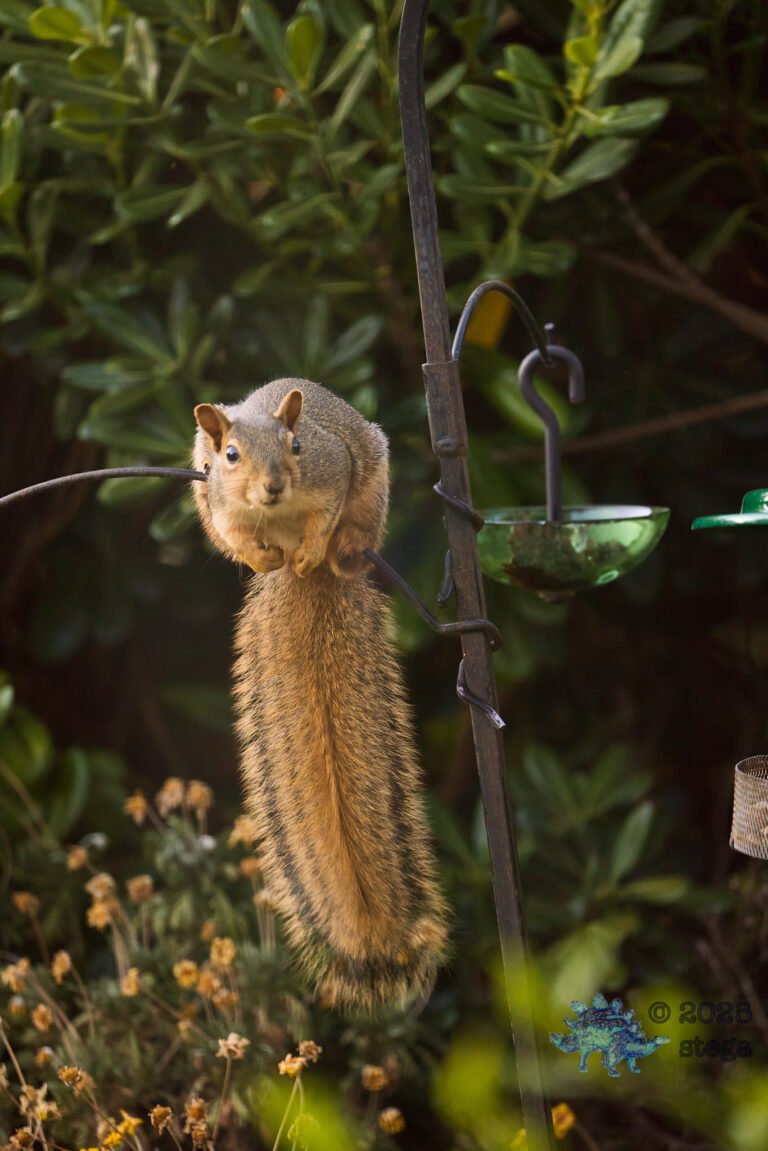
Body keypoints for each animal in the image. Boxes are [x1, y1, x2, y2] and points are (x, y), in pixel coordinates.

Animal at [192, 377, 449, 1010]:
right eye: (229, 456)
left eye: (297, 445)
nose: (274, 484)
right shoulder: (219, 501)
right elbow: (234, 531)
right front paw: (258, 553)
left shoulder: (332, 472)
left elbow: (326, 512)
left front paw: (310, 547)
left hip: (373, 491)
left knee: (352, 532)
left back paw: (331, 553)